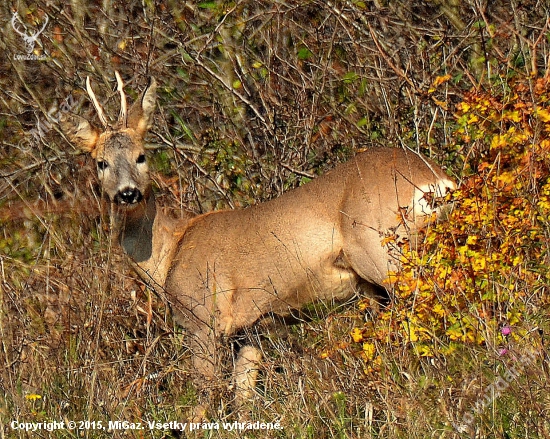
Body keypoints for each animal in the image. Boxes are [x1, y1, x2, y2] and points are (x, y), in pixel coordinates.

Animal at [63, 72, 458, 406]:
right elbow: (243, 397)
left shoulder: (205, 319)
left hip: (382, 251)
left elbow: (203, 398)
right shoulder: (251, 330)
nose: (127, 193)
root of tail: (437, 180)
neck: (169, 253)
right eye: (101, 163)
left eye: (141, 156)